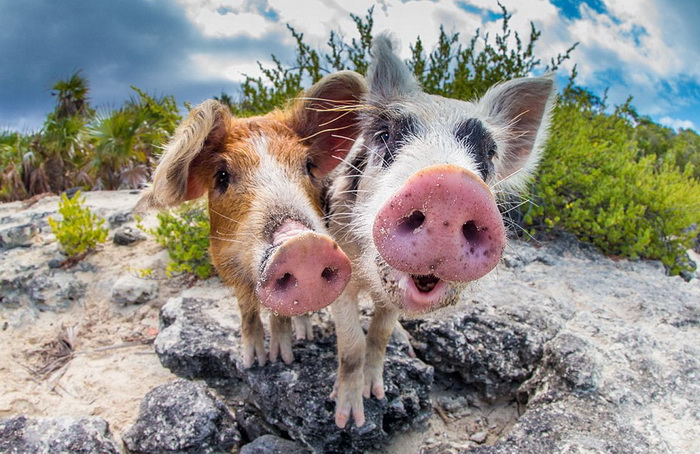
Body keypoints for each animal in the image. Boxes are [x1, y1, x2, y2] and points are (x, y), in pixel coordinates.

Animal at [134, 70, 370, 368]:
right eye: (222, 176)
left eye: (308, 166)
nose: (303, 245)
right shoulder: (225, 264)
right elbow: (247, 309)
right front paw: (252, 362)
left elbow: (280, 315)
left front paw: (283, 359)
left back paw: (305, 336)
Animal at [324, 36, 556, 430]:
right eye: (385, 135)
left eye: (488, 153)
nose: (449, 187)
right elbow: (351, 344)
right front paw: (348, 420)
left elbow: (380, 335)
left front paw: (378, 394)